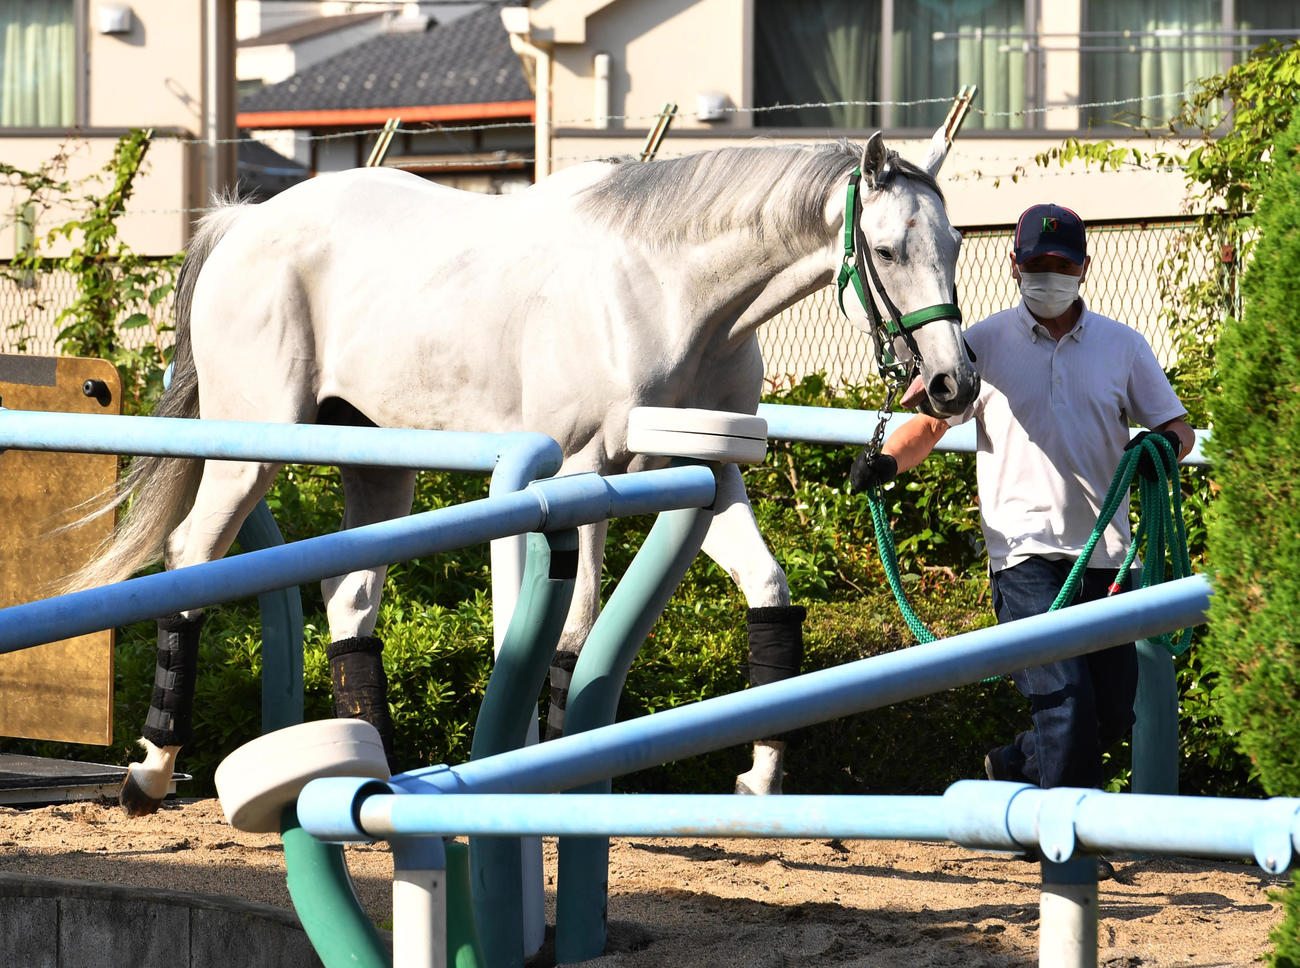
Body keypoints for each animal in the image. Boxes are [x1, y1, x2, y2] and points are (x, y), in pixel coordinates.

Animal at [64, 129, 979, 815]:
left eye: (955, 243)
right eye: (887, 249)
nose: (951, 385)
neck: (666, 289)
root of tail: (242, 224)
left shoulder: (708, 476)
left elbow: (769, 595)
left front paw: (758, 778)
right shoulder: (581, 476)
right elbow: (572, 633)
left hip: (375, 466)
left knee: (348, 599)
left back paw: (374, 774)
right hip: (253, 451)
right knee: (191, 559)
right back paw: (149, 771)